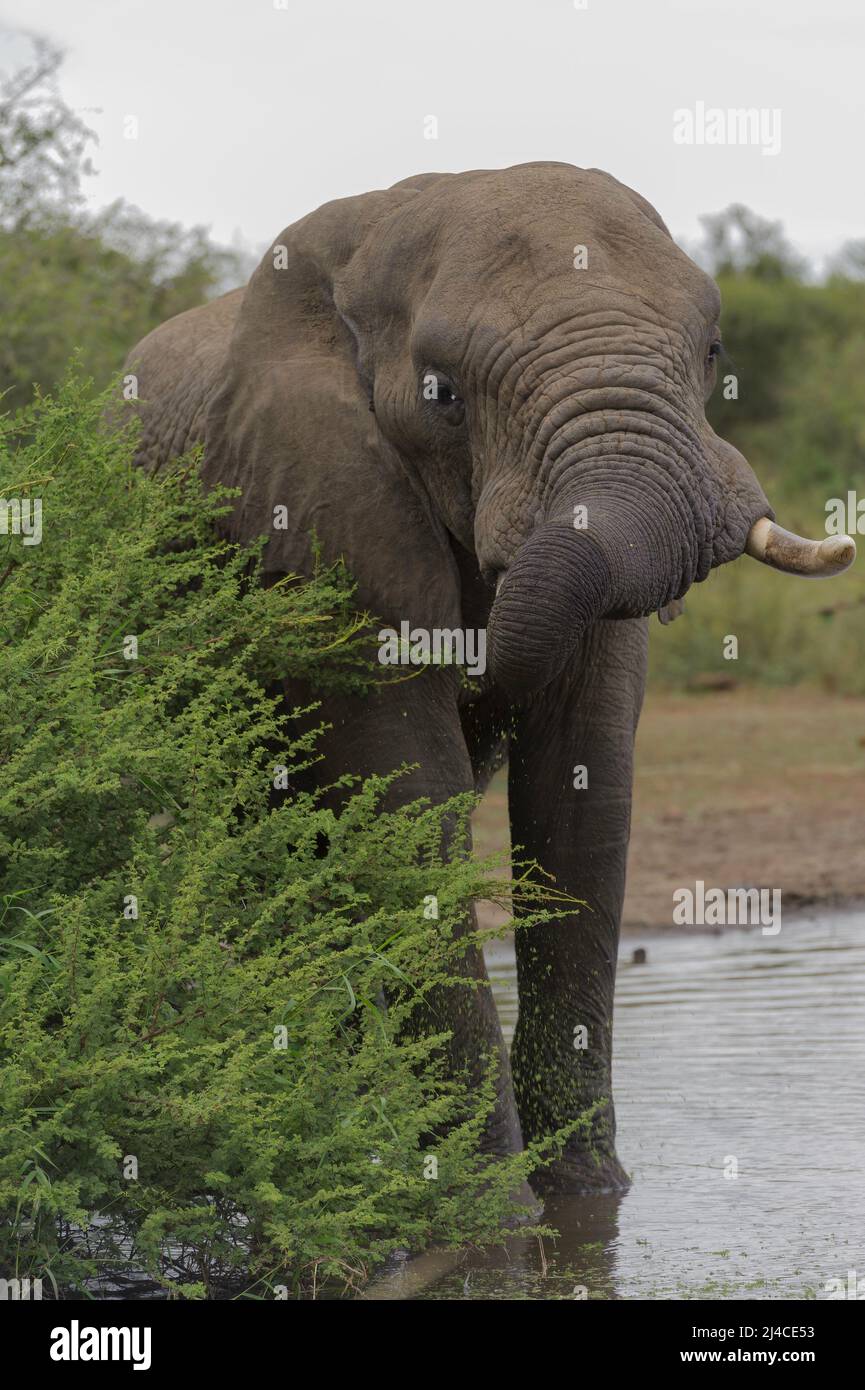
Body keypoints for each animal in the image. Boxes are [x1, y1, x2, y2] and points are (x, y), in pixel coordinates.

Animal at [125, 159, 856, 1184]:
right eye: (442, 394)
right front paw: (486, 1205)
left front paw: (586, 1196)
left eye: (712, 350)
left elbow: (583, 793)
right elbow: (405, 798)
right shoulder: (313, 512)